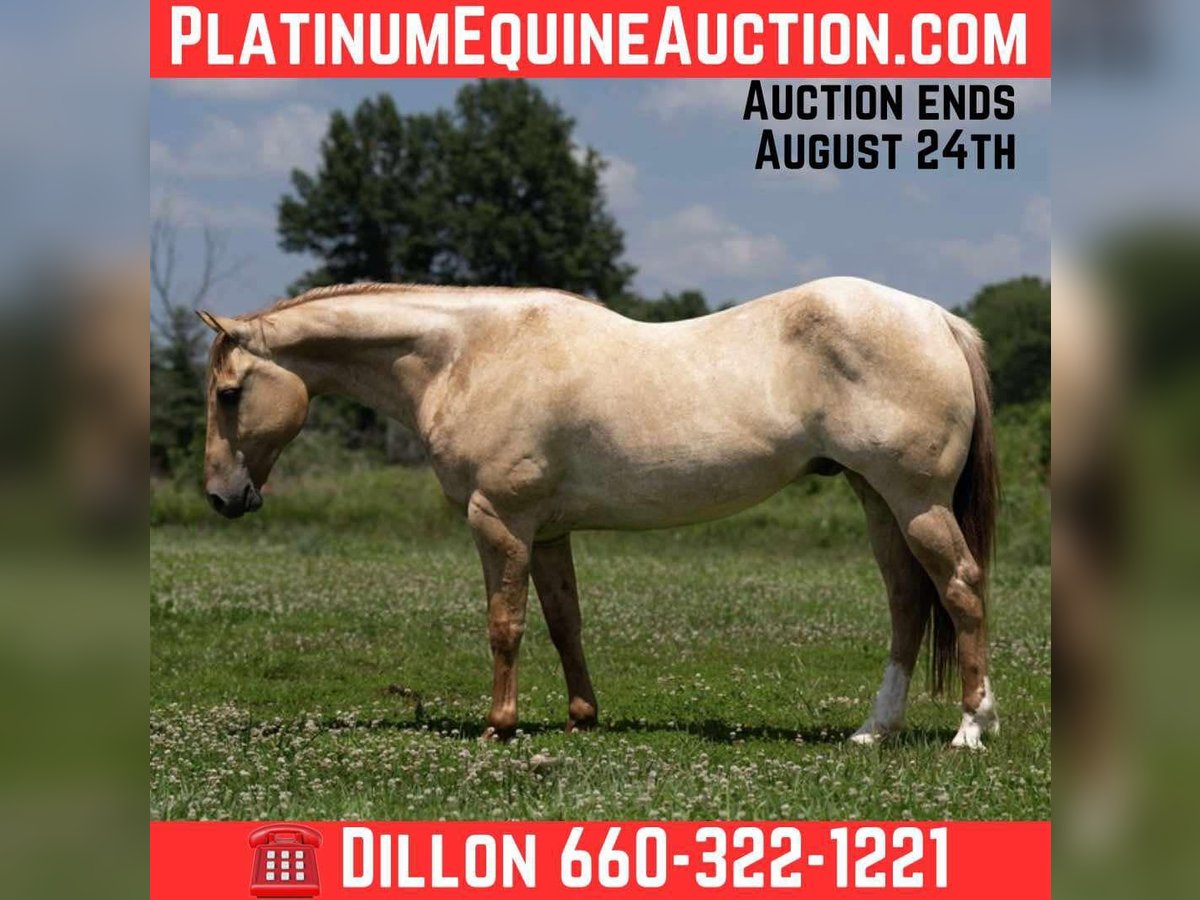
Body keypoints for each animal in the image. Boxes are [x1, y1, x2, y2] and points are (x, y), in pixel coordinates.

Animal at [197, 277, 1000, 749]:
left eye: (229, 394)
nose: (221, 496)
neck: (467, 355)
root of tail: (937, 318)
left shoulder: (501, 521)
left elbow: (506, 624)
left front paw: (500, 726)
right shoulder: (549, 530)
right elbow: (564, 623)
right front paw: (582, 717)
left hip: (914, 501)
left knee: (961, 590)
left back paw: (971, 726)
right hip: (877, 499)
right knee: (907, 603)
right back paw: (874, 730)